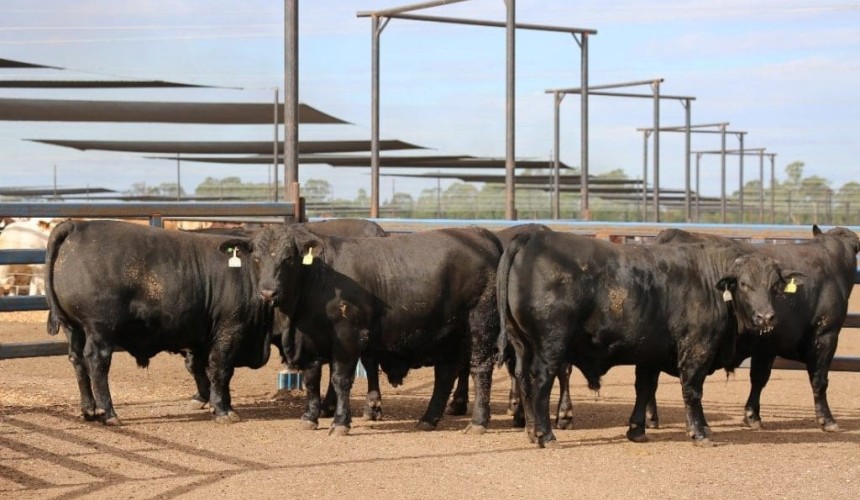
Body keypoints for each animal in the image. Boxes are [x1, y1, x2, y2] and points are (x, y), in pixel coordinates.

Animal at [45, 220, 274, 425]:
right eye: (258, 258)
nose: (270, 291)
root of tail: (76, 225)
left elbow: (203, 368)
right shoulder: (230, 331)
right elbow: (220, 369)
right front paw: (222, 409)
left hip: (73, 327)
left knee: (77, 360)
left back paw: (89, 410)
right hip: (100, 327)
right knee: (96, 361)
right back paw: (108, 413)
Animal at [222, 224, 501, 435]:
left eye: (288, 258)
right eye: (256, 259)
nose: (268, 292)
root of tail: (480, 234)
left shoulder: (348, 338)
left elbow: (340, 380)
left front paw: (340, 422)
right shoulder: (310, 341)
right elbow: (312, 380)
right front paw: (310, 417)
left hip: (479, 325)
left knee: (480, 369)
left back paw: (478, 422)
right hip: (447, 333)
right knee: (445, 374)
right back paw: (428, 419)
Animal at [498, 230, 798, 447]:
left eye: (774, 286)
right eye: (744, 284)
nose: (766, 317)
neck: (708, 282)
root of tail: (532, 238)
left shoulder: (650, 353)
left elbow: (644, 389)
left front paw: (637, 429)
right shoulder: (696, 350)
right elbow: (692, 391)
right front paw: (699, 432)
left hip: (522, 344)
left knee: (523, 379)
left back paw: (531, 431)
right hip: (551, 345)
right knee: (541, 381)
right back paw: (546, 435)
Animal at [651, 225, 860, 431]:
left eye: (775, 285)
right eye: (743, 284)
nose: (765, 316)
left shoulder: (767, 345)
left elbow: (759, 378)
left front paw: (752, 415)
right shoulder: (827, 335)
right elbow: (819, 379)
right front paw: (827, 419)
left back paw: (652, 417)